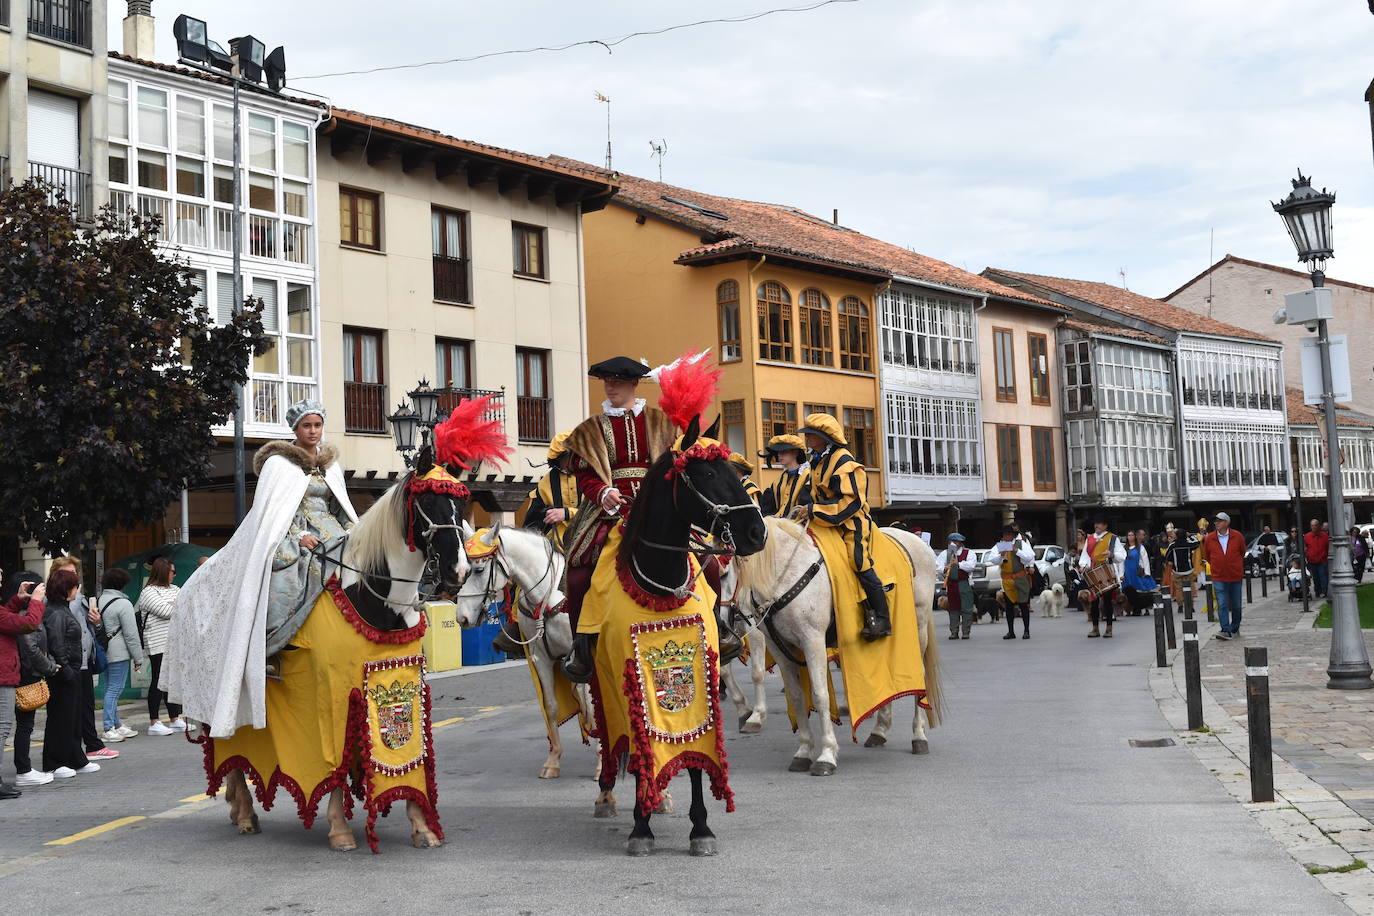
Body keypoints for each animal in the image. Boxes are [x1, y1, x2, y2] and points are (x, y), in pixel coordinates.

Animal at [450, 521, 590, 780]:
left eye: (479, 570)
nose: (462, 618)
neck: (548, 595)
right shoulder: (542, 659)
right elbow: (551, 706)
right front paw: (553, 761)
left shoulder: (581, 660)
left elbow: (590, 706)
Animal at [730, 519, 945, 780]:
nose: (733, 615)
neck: (786, 571)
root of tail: (917, 541)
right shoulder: (780, 647)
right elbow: (797, 696)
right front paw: (803, 752)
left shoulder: (812, 640)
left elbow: (820, 696)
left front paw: (826, 755)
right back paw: (879, 730)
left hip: (919, 626)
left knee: (919, 677)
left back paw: (919, 736)